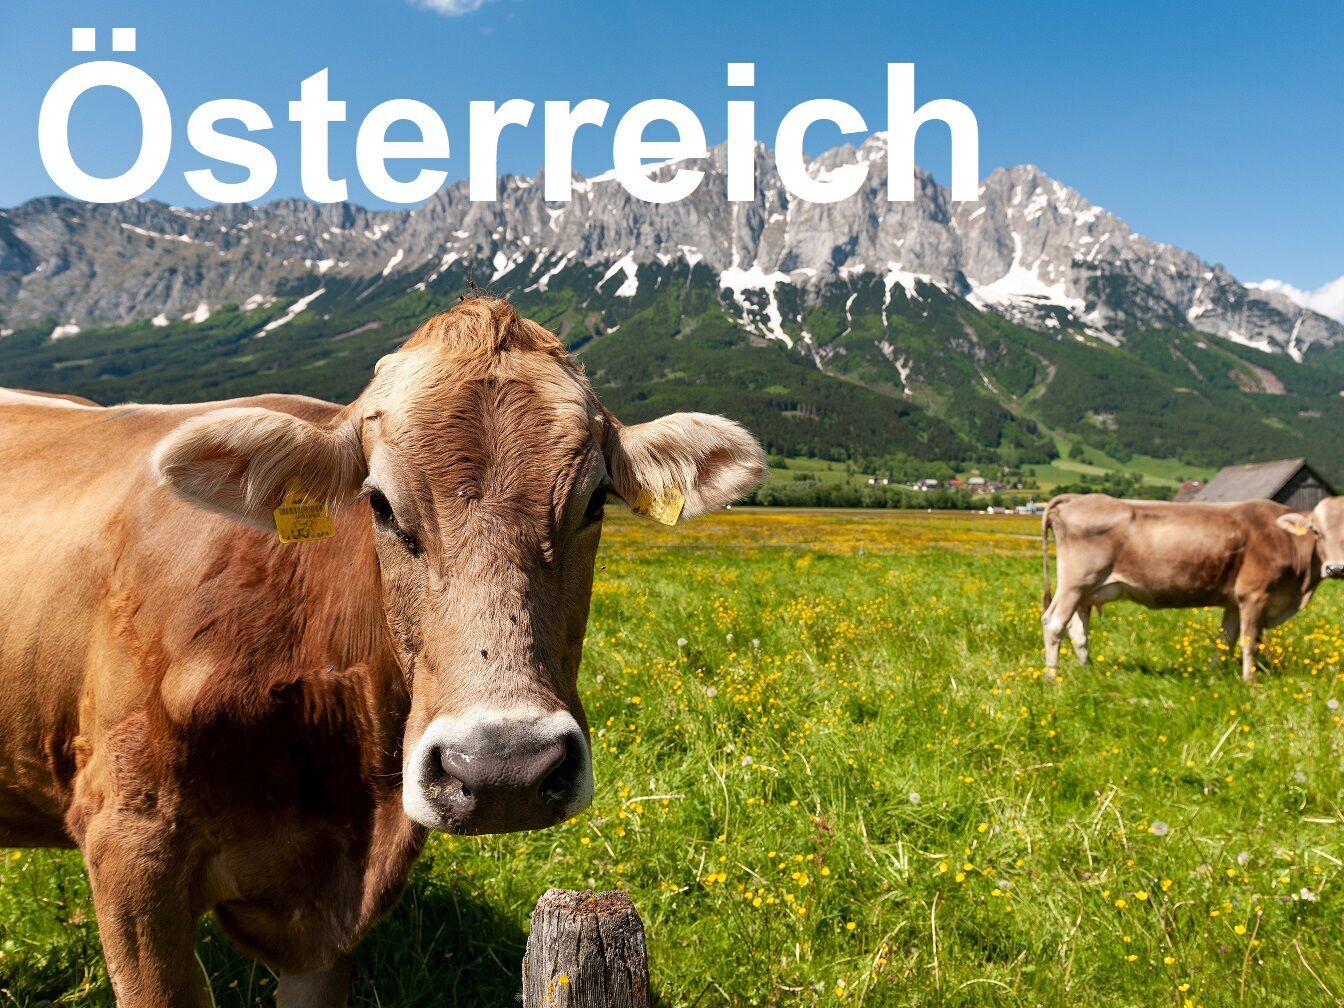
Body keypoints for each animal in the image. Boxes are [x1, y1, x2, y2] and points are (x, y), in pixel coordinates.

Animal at [1040, 492, 1344, 682]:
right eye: (1317, 532)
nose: (1336, 568)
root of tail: (1077, 497)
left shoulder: (1234, 602)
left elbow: (1225, 640)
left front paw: (1214, 675)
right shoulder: (1254, 596)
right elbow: (1250, 641)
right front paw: (1250, 681)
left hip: (1086, 593)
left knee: (1078, 631)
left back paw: (1089, 672)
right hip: (1075, 583)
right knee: (1053, 623)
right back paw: (1052, 678)